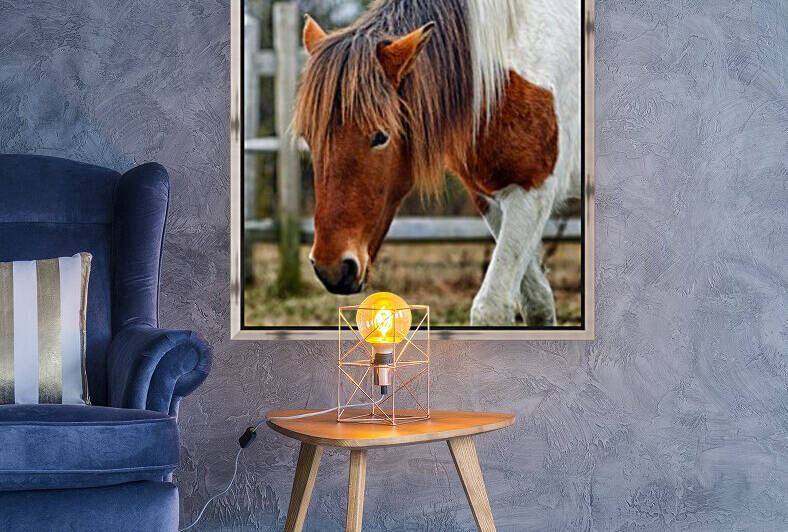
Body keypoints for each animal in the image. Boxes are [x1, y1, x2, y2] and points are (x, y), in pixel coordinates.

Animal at [293, 0, 581, 326]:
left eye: (380, 136)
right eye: (308, 138)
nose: (332, 268)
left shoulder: (533, 193)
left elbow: (492, 307)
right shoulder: (491, 198)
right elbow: (538, 302)